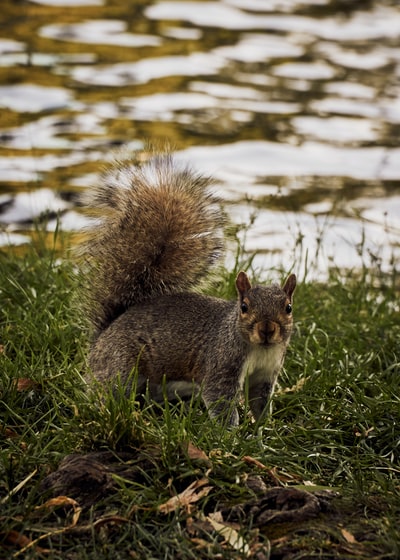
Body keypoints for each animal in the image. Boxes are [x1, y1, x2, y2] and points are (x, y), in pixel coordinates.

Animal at [79, 151, 296, 426]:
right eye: (244, 307)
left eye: (288, 308)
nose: (267, 329)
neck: (260, 349)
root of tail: (102, 337)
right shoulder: (221, 365)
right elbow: (220, 400)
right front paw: (231, 432)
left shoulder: (266, 374)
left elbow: (260, 402)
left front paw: (264, 428)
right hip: (122, 367)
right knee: (110, 391)